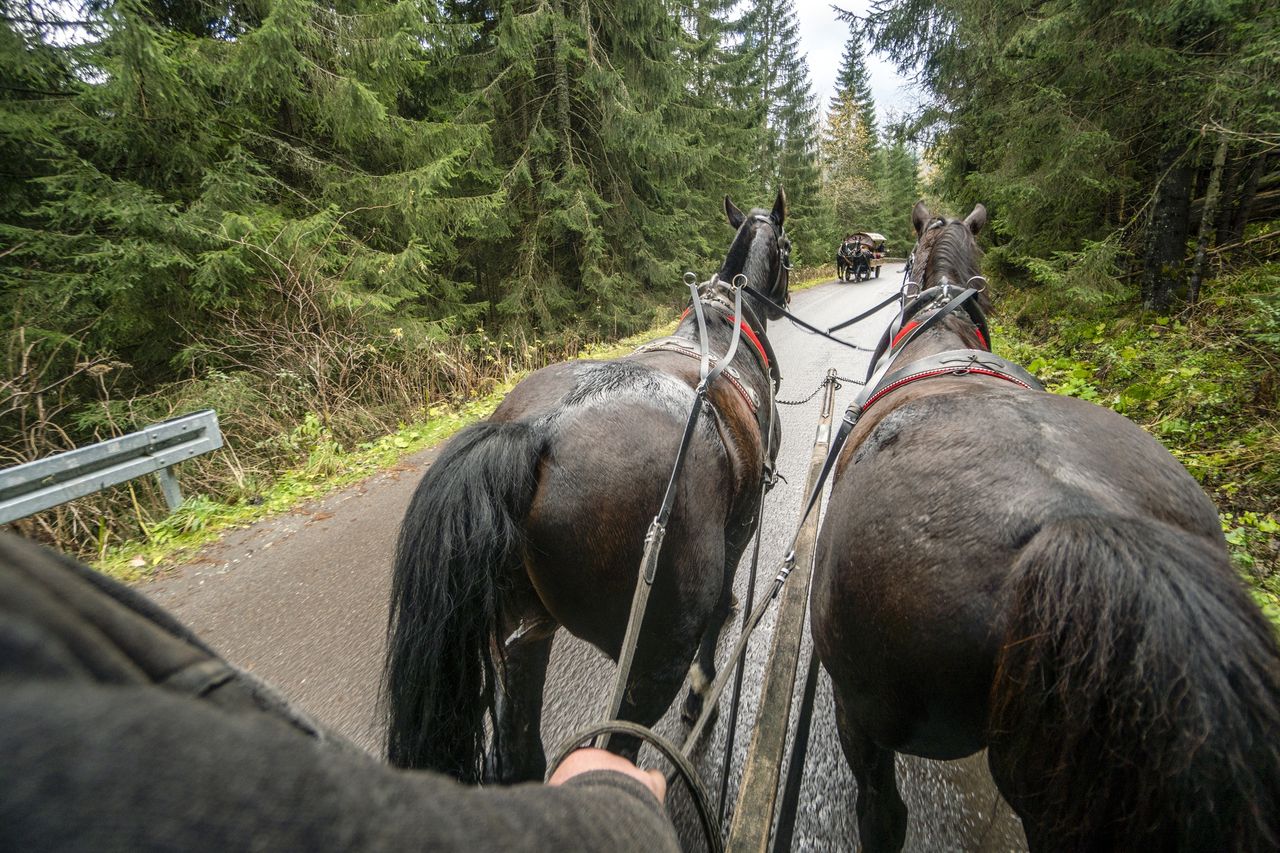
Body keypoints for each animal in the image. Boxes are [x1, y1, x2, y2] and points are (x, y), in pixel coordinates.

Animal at [384, 189, 788, 778]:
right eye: (787, 246)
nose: (782, 296)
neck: (719, 328)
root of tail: (539, 430)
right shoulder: (741, 528)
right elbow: (718, 615)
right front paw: (703, 691)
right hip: (652, 656)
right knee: (618, 747)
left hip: (520, 632)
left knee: (521, 751)